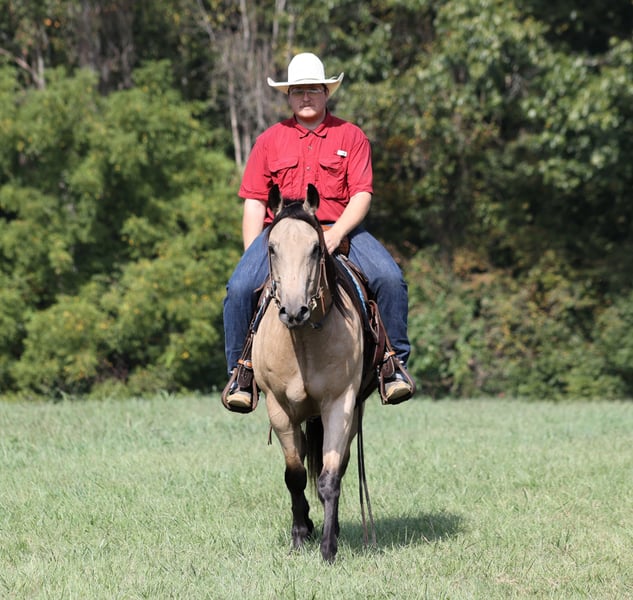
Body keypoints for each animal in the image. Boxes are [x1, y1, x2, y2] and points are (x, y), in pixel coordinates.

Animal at [252, 183, 366, 562]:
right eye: (271, 248)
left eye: (316, 248)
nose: (294, 310)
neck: (301, 342)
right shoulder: (278, 408)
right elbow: (295, 475)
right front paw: (300, 535)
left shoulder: (340, 403)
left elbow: (330, 477)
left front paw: (328, 548)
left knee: (339, 466)